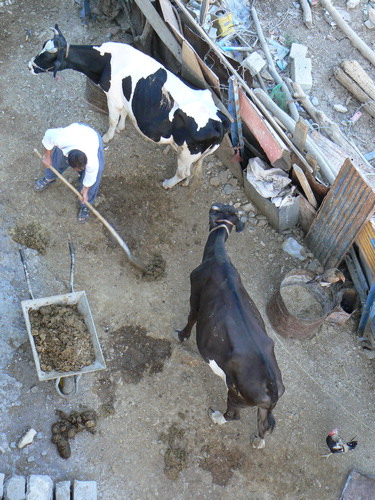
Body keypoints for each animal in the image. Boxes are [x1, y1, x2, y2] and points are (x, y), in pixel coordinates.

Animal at [27, 25, 231, 189]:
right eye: (42, 46)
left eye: (48, 56)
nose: (29, 65)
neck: (107, 60)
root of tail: (220, 120)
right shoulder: (124, 98)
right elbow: (124, 114)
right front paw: (121, 127)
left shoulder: (112, 97)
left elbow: (111, 119)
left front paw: (108, 136)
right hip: (197, 154)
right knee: (191, 171)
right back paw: (185, 183)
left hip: (188, 152)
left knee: (182, 172)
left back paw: (168, 184)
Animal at [176, 204, 284, 450]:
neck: (219, 258)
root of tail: (272, 386)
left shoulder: (195, 295)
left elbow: (191, 318)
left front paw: (181, 336)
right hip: (263, 406)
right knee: (265, 425)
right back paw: (258, 442)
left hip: (236, 394)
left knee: (233, 415)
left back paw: (216, 416)